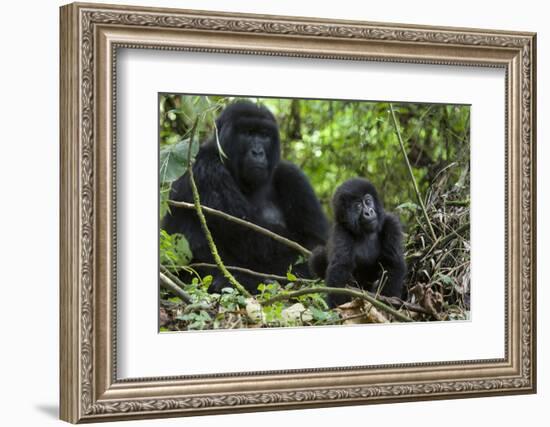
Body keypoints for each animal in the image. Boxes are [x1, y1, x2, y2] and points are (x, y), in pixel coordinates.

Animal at [163, 100, 328, 294]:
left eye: (264, 135)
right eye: (247, 133)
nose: (258, 152)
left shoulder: (293, 176)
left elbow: (316, 242)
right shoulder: (206, 168)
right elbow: (252, 239)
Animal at [312, 178, 408, 308]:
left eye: (368, 201)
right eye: (357, 206)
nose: (368, 212)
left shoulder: (391, 223)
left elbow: (392, 264)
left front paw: (388, 302)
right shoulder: (341, 231)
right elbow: (340, 268)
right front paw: (339, 308)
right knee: (317, 255)